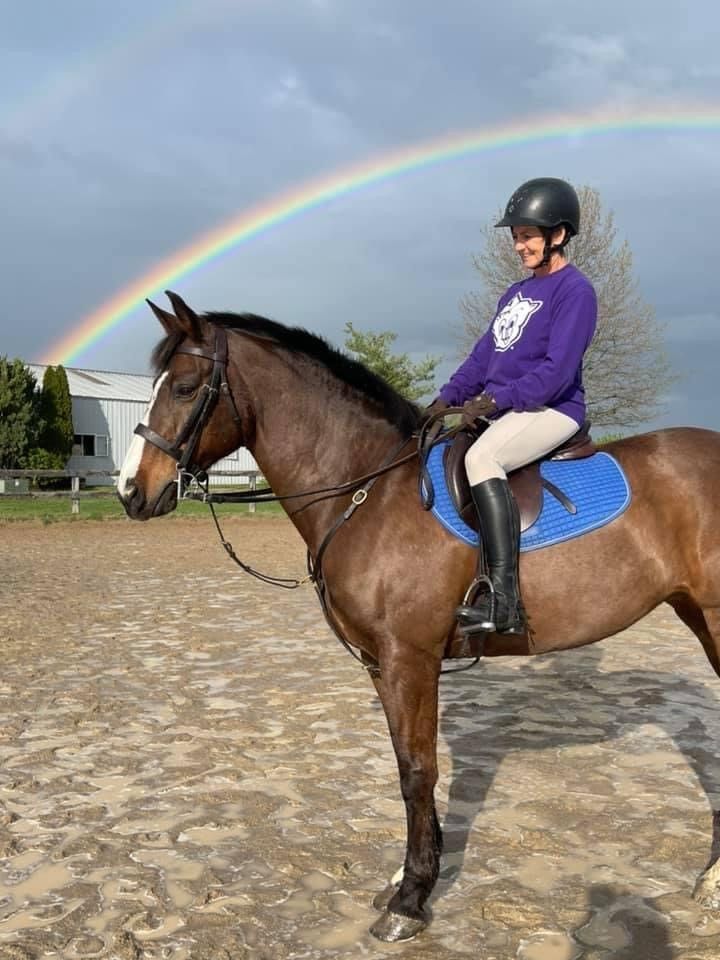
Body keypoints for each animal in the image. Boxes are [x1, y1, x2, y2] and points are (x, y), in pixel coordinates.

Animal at [117, 290, 720, 943]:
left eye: (183, 387)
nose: (130, 492)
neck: (368, 494)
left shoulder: (411, 658)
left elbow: (417, 772)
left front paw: (409, 901)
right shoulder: (383, 664)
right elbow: (408, 764)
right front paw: (413, 879)